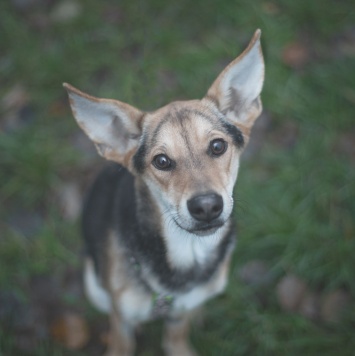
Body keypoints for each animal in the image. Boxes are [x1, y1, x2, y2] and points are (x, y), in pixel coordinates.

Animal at [64, 29, 264, 354]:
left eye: (218, 146)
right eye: (161, 161)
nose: (207, 206)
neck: (187, 252)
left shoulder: (179, 315)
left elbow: (176, 339)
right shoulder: (121, 320)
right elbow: (123, 341)